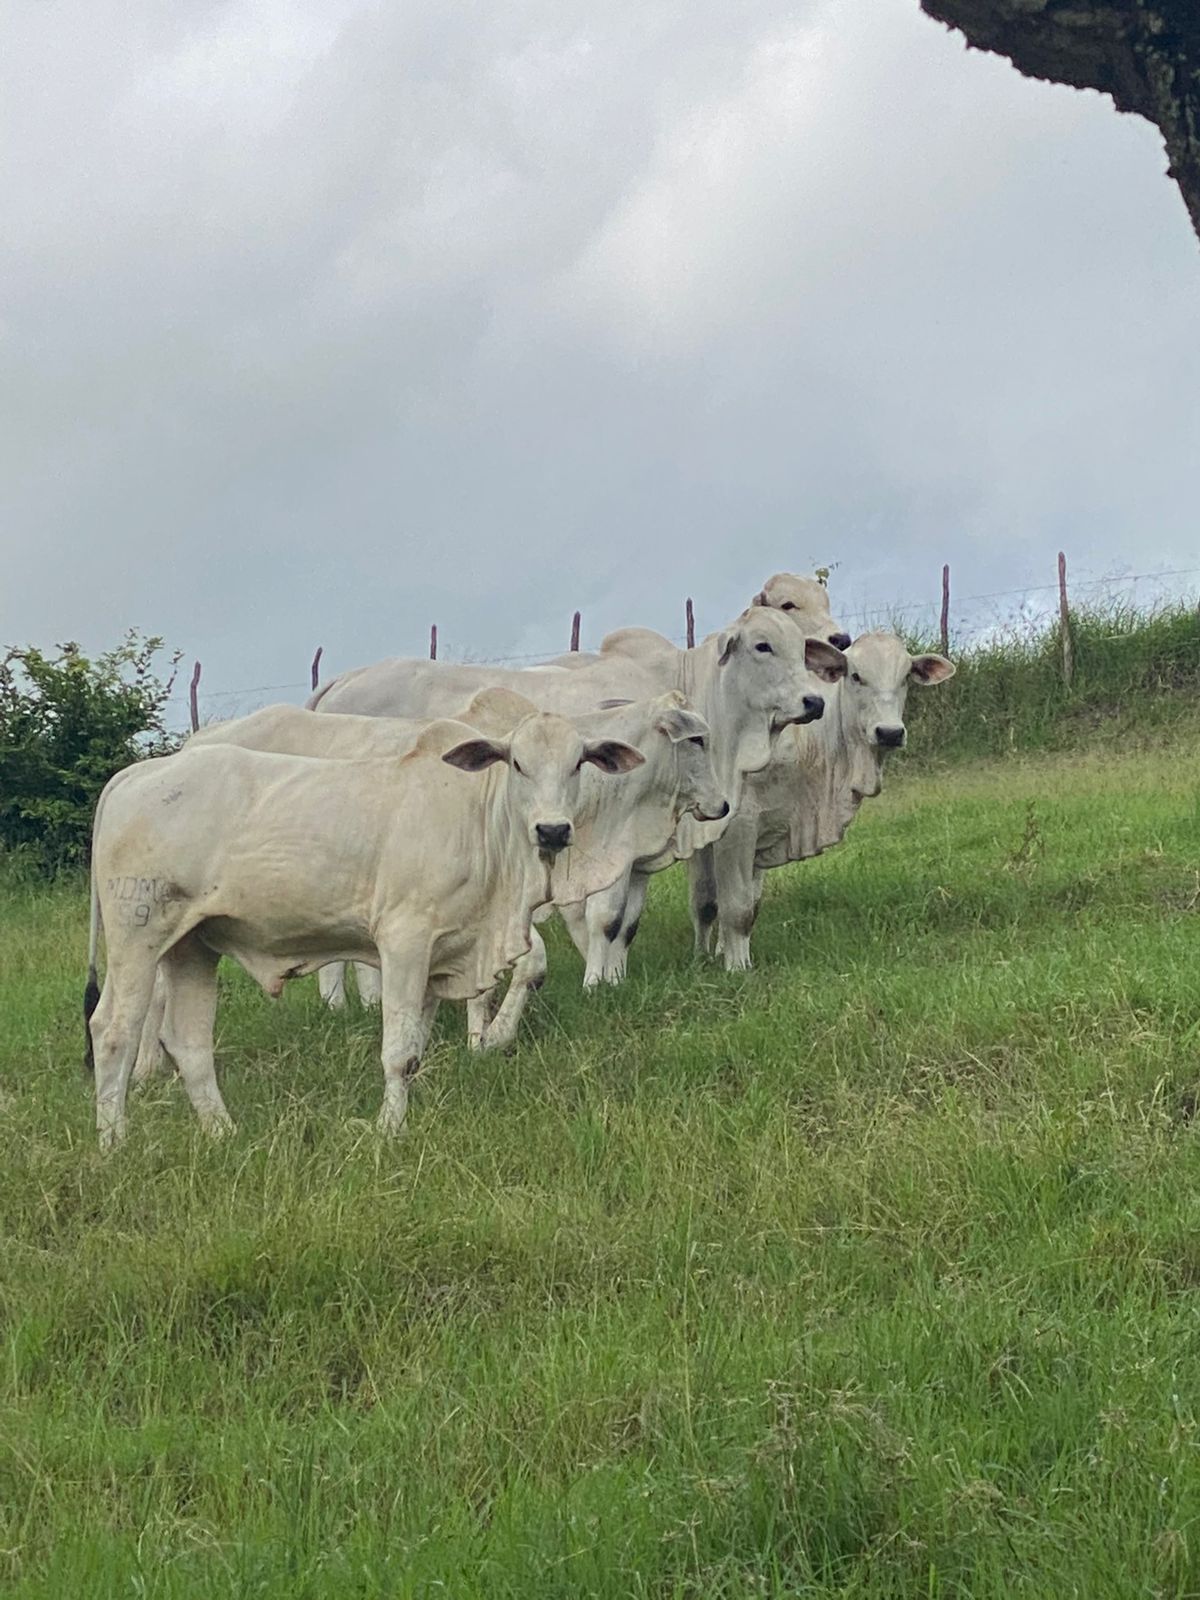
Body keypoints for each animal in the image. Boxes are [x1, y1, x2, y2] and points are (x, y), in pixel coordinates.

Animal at [84, 711, 645, 1148]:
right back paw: (114, 1144)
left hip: (191, 945)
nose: (552, 830)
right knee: (112, 1031)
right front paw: (388, 1130)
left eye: (578, 763)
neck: (479, 820)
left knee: (188, 1041)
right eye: (519, 764)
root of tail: (134, 774)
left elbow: (416, 1047)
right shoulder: (404, 940)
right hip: (138, 934)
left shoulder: (439, 956)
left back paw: (224, 1134)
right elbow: (398, 1053)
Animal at [688, 631, 955, 969]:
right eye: (856, 676)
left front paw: (720, 953)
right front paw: (731, 966)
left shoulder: (762, 834)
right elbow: (727, 906)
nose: (890, 732)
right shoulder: (735, 826)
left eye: (906, 676)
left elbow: (747, 903)